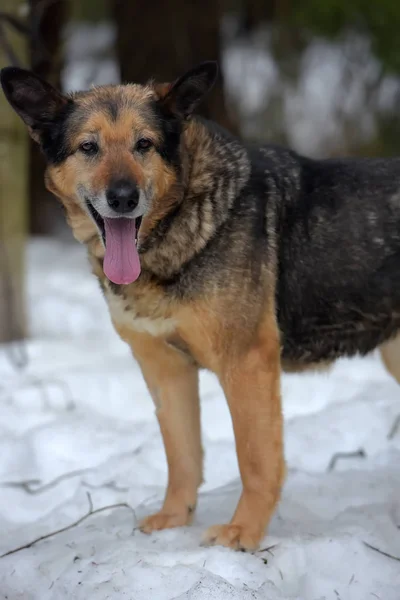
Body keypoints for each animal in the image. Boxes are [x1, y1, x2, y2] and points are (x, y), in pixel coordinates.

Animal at [2, 62, 400, 552]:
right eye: (88, 147)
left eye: (144, 144)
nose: (123, 198)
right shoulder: (164, 369)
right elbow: (182, 456)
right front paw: (174, 520)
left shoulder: (247, 363)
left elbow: (255, 460)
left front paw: (243, 535)